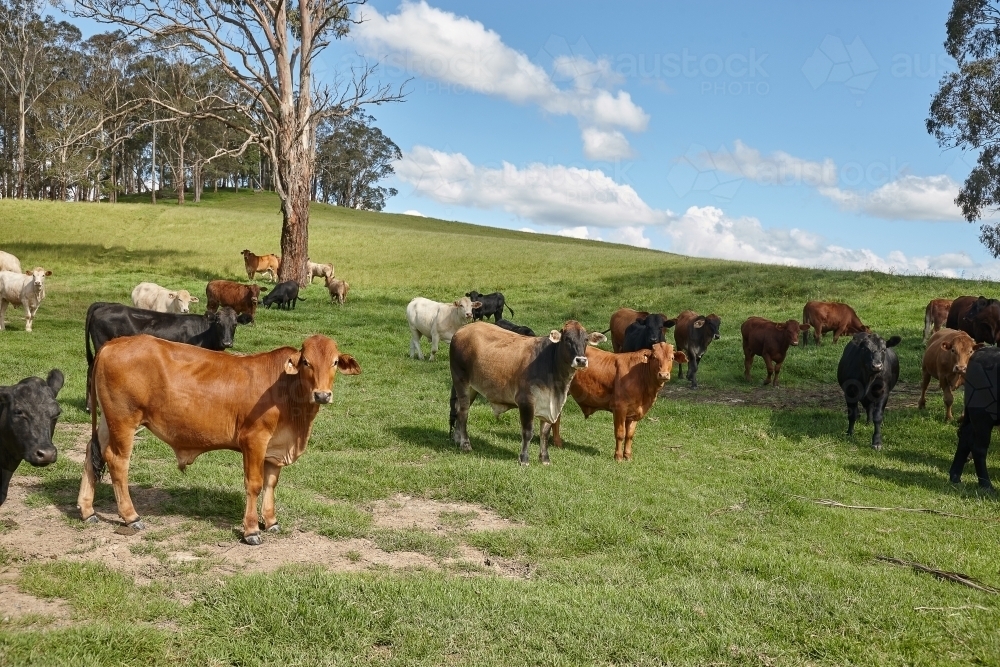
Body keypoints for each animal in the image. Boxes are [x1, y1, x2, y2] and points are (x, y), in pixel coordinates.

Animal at [77, 334, 361, 544]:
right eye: (306, 362)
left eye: (335, 362)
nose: (322, 395)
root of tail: (112, 344)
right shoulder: (254, 439)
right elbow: (254, 484)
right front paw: (251, 530)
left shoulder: (276, 447)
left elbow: (271, 484)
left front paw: (271, 521)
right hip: (124, 421)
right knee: (117, 462)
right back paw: (131, 516)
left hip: (108, 422)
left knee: (92, 452)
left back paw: (87, 510)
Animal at [449, 321, 605, 465]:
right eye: (567, 339)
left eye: (585, 339)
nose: (581, 360)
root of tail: (462, 329)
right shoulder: (526, 401)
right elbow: (528, 431)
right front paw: (524, 459)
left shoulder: (549, 406)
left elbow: (545, 433)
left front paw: (545, 459)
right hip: (461, 381)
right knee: (463, 412)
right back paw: (465, 444)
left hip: (472, 388)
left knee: (458, 409)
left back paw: (457, 438)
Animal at [543, 342, 687, 461]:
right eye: (655, 357)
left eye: (671, 358)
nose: (663, 375)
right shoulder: (619, 408)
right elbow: (620, 434)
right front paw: (618, 456)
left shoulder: (634, 412)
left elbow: (629, 435)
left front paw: (627, 455)